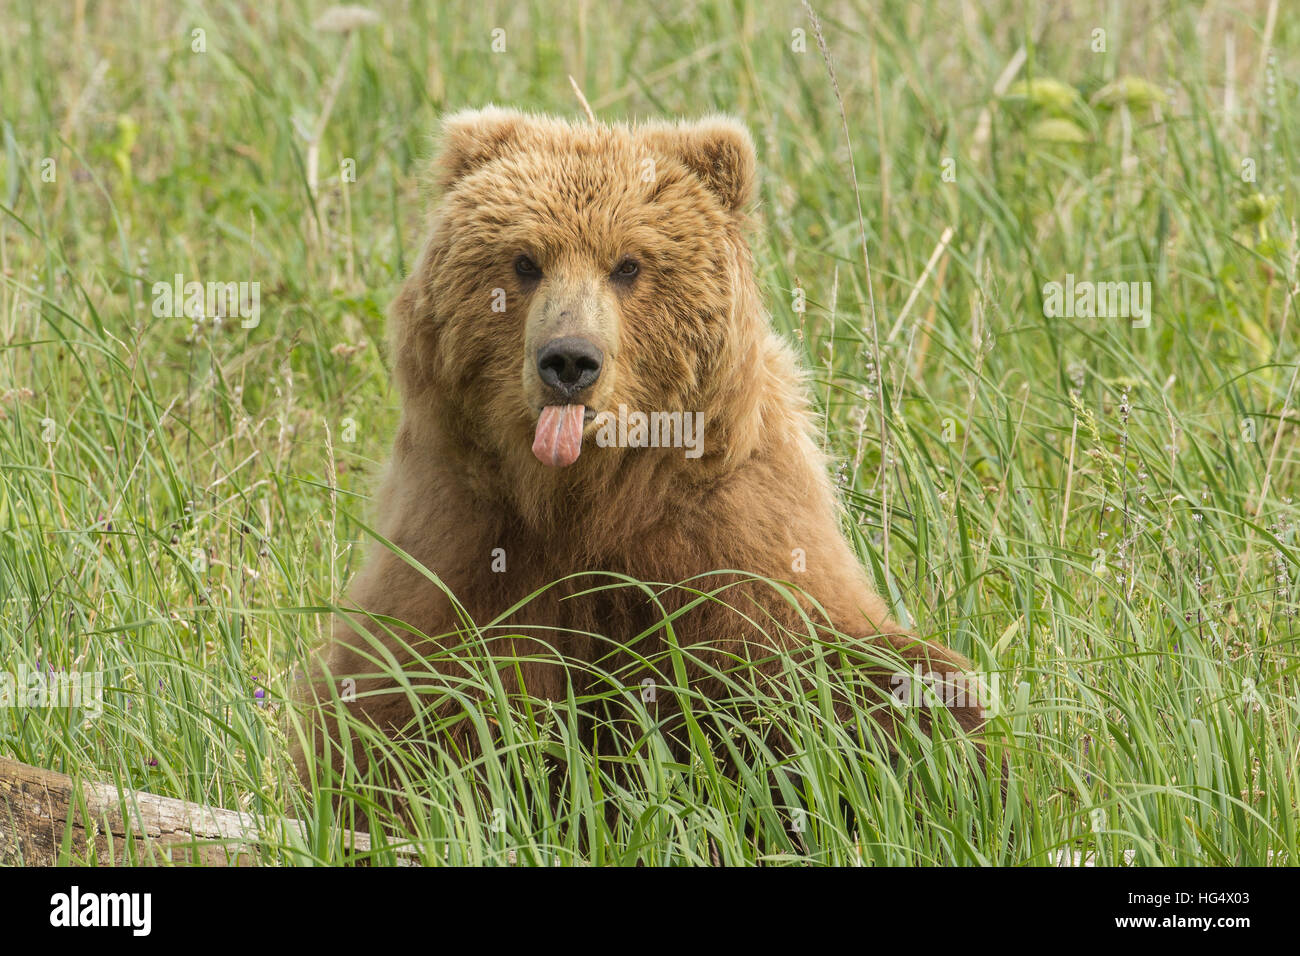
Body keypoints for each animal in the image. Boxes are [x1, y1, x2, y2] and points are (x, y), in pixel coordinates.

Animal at [293, 107, 986, 795]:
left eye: (628, 264)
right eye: (525, 261)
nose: (569, 361)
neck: (589, 493)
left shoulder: (728, 534)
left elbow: (836, 671)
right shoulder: (467, 534)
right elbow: (408, 703)